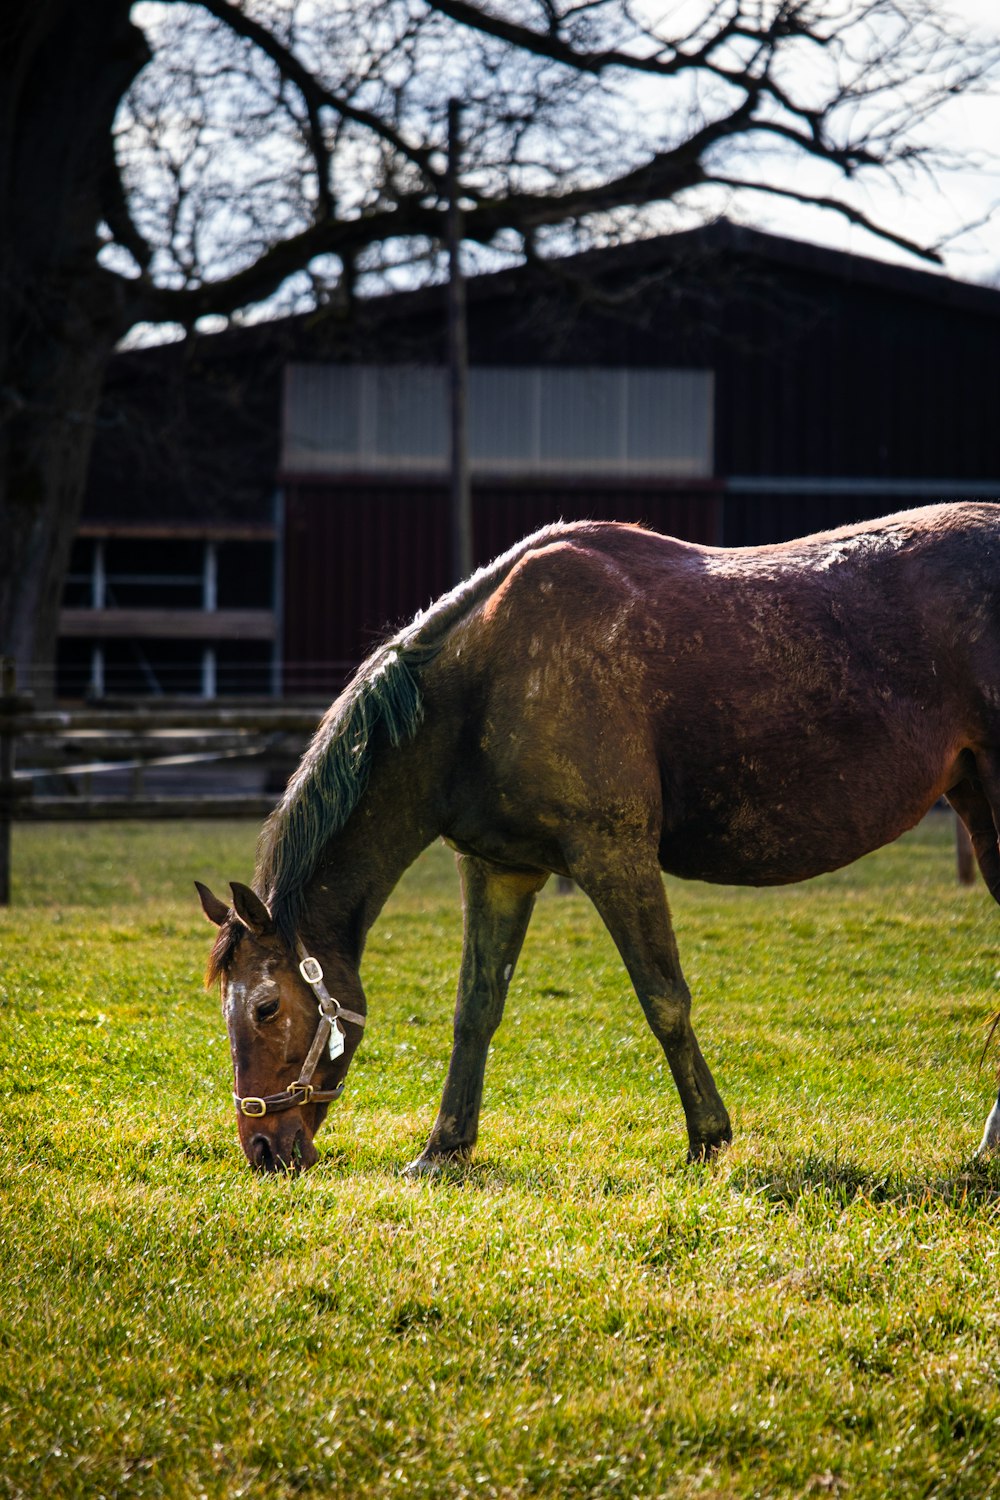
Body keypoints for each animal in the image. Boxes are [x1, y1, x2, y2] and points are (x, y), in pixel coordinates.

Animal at [197, 504, 1000, 1170]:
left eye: (266, 1007)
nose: (263, 1148)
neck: (489, 677)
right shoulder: (498, 869)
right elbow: (474, 1011)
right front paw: (443, 1150)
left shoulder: (614, 855)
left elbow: (664, 999)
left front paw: (708, 1139)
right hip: (977, 798)